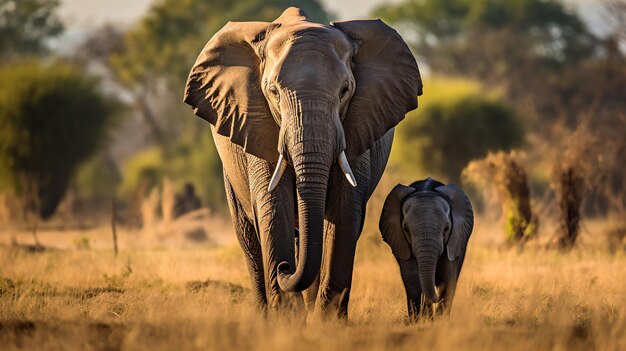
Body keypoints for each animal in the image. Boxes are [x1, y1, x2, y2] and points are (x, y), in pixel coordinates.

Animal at [183, 6, 422, 318]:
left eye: (345, 90)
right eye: (273, 91)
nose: (285, 269)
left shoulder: (358, 125)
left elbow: (344, 213)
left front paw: (326, 321)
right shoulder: (257, 124)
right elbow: (273, 208)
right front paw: (287, 318)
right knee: (248, 236)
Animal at [376, 177, 472, 320]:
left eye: (446, 229)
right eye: (406, 229)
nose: (436, 298)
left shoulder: (454, 241)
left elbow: (448, 278)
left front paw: (440, 321)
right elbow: (412, 278)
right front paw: (422, 321)